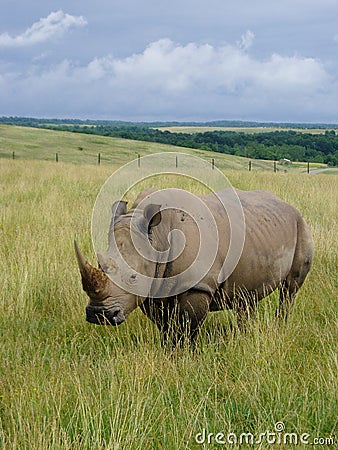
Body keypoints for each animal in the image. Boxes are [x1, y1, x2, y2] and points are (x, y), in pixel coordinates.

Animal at [74, 188, 314, 346]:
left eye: (133, 277)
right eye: (100, 265)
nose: (98, 315)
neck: (158, 237)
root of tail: (287, 204)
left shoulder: (197, 286)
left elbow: (187, 327)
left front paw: (184, 355)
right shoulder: (153, 287)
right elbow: (165, 326)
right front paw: (168, 351)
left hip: (301, 225)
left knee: (289, 290)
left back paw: (279, 327)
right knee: (246, 298)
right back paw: (244, 335)